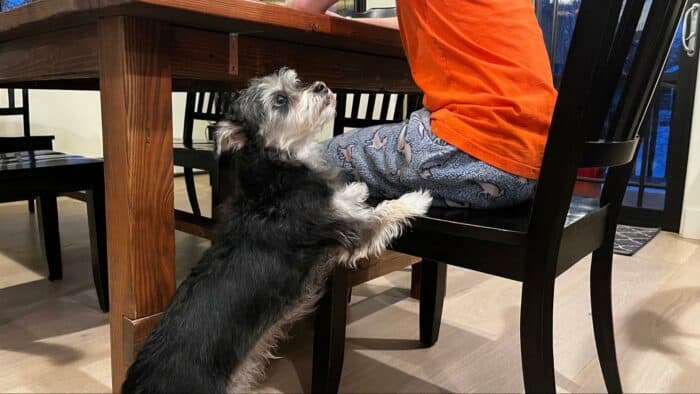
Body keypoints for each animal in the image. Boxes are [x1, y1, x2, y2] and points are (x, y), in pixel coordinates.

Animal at [120, 68, 430, 394]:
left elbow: (347, 198)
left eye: (295, 82)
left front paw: (355, 190)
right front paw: (417, 198)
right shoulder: (353, 232)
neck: (279, 171)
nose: (321, 86)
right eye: (280, 100)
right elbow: (385, 211)